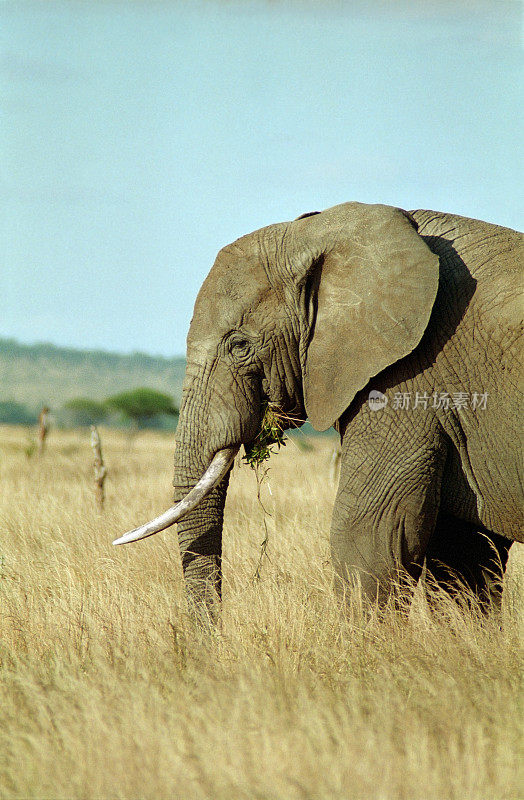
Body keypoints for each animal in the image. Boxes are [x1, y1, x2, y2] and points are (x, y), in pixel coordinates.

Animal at [115, 203, 524, 616]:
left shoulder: (410, 377)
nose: (207, 634)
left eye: (240, 346)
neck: (321, 233)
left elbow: (368, 534)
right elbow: (462, 557)